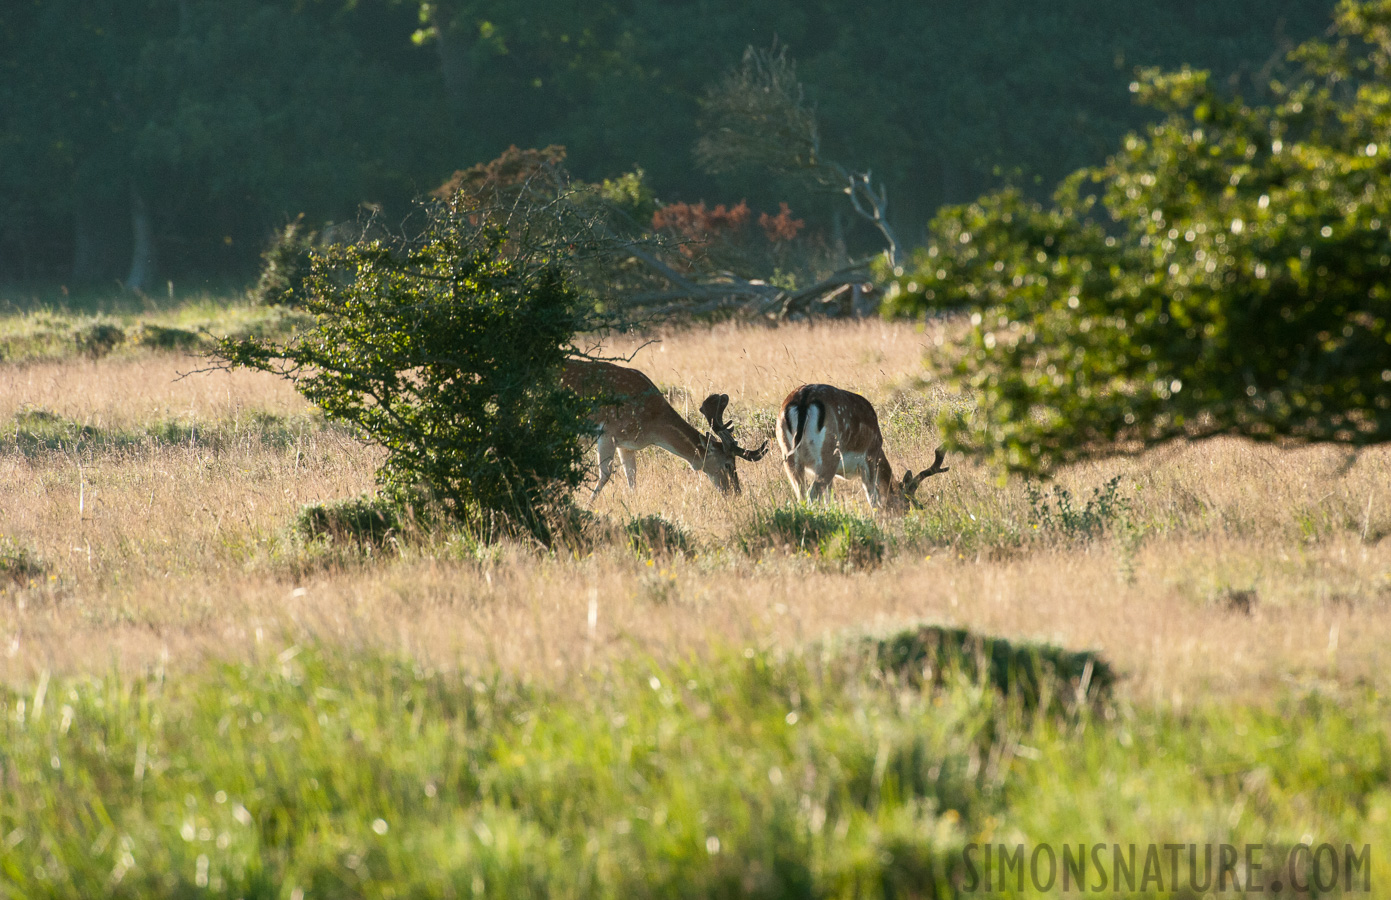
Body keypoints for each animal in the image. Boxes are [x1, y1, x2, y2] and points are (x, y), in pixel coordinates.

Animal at [559, 356, 773, 500]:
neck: (651, 426)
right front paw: (588, 504)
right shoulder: (607, 432)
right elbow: (605, 474)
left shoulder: (625, 444)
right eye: (728, 464)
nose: (736, 493)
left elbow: (632, 478)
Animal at [778, 381, 951, 514]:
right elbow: (874, 498)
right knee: (811, 494)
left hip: (789, 457)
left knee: (801, 494)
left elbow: (830, 498)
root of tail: (804, 399)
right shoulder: (869, 458)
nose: (901, 518)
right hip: (829, 457)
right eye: (905, 505)